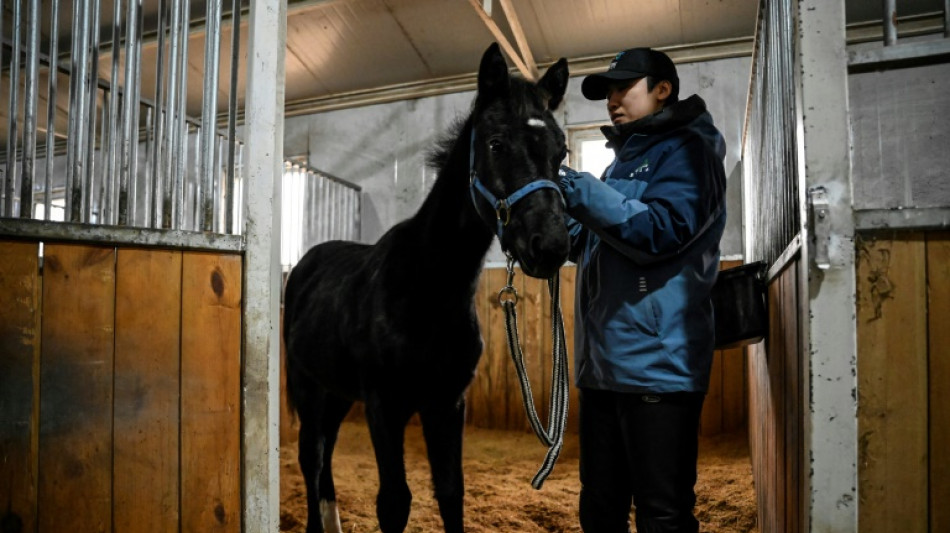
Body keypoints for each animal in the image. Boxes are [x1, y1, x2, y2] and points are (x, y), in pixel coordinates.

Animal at [282, 42, 570, 533]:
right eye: (496, 143)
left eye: (561, 151)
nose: (549, 245)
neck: (426, 286)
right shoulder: (384, 405)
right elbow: (394, 501)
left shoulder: (446, 403)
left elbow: (451, 492)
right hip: (308, 386)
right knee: (311, 456)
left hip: (336, 392)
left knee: (325, 455)